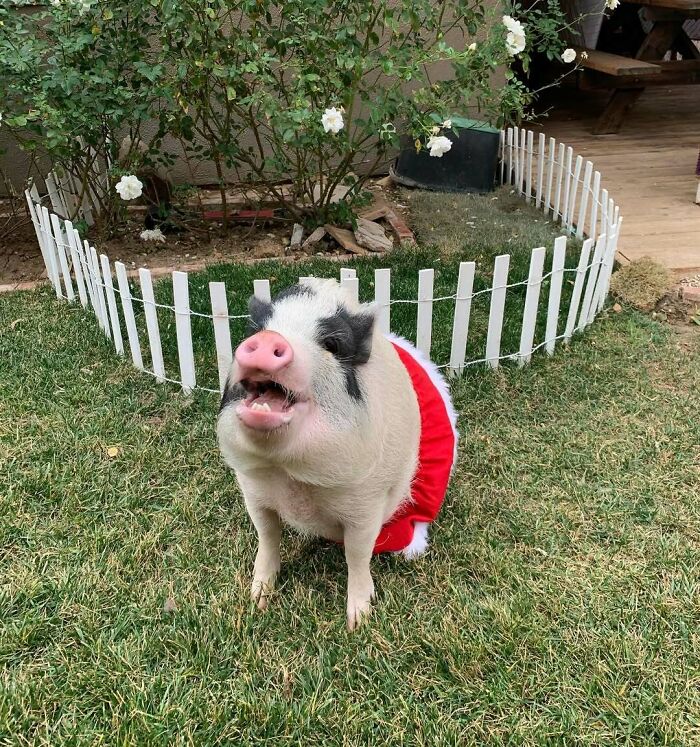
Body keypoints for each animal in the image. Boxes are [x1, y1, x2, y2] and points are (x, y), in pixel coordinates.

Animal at [217, 278, 457, 630]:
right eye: (258, 329)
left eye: (331, 344)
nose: (267, 339)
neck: (292, 473)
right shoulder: (253, 489)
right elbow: (267, 535)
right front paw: (257, 600)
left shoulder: (367, 503)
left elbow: (357, 554)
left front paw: (358, 621)